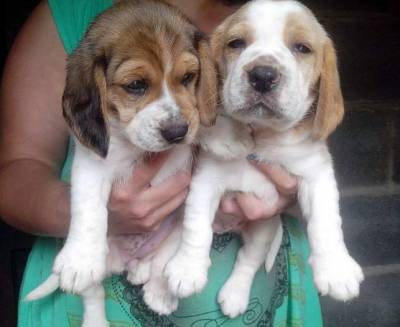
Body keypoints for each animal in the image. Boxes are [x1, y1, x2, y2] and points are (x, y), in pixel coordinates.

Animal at [26, 1, 217, 326]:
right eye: (136, 85)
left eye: (188, 77)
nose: (178, 132)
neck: (135, 147)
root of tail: (128, 258)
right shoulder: (92, 165)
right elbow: (89, 208)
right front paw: (80, 259)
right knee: (93, 294)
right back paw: (97, 315)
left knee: (162, 260)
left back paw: (158, 290)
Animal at [164, 0, 364, 318]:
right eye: (236, 43)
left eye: (302, 48)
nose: (262, 75)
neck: (264, 134)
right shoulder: (206, 181)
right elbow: (196, 228)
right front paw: (187, 268)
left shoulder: (316, 176)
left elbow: (326, 221)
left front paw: (336, 269)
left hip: (263, 229)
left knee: (248, 259)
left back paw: (235, 296)